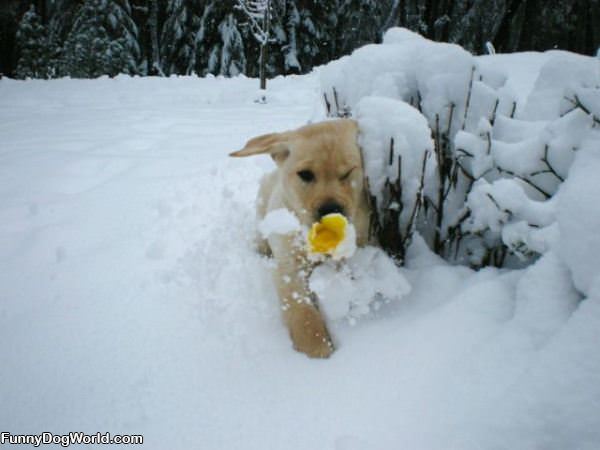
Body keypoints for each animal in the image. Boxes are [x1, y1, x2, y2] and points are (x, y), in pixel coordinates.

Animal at [230, 119, 370, 358]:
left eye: (347, 173)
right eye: (305, 174)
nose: (331, 210)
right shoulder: (288, 270)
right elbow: (301, 310)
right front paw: (316, 347)